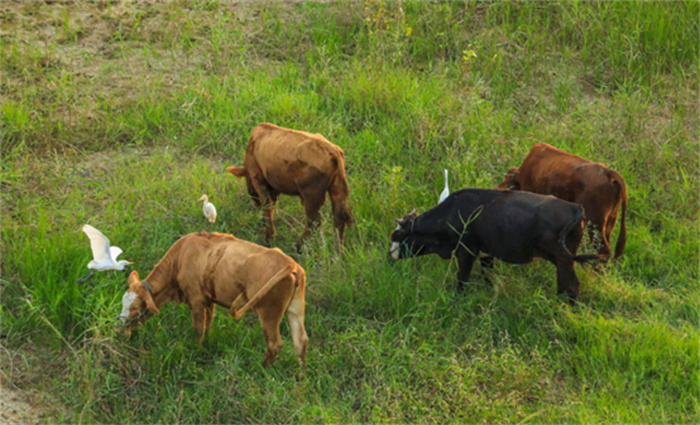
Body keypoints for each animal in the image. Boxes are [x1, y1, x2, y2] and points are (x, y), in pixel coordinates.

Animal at [118, 232, 308, 368]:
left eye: (135, 307)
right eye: (123, 303)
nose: (120, 328)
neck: (179, 259)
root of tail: (290, 263)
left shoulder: (196, 300)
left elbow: (198, 329)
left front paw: (197, 350)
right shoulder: (209, 300)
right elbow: (208, 324)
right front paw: (207, 343)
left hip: (269, 312)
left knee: (275, 344)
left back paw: (262, 369)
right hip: (295, 309)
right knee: (300, 341)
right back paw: (300, 377)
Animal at [386, 188, 600, 302]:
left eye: (397, 235)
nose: (389, 256)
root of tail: (576, 208)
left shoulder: (466, 253)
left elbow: (462, 278)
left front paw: (458, 298)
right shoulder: (486, 254)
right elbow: (488, 277)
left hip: (563, 259)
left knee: (571, 286)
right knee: (564, 284)